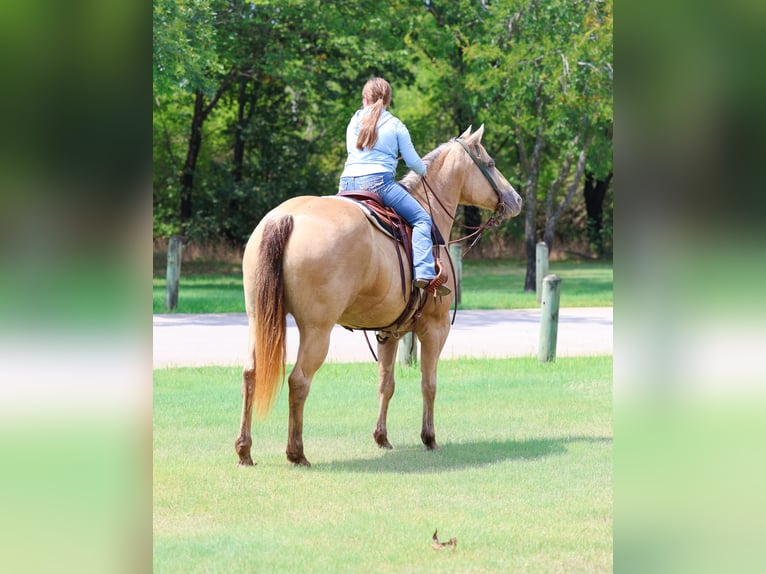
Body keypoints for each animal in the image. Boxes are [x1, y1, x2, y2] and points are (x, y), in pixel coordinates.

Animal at [235, 124, 522, 467]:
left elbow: (386, 383)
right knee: (299, 381)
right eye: (490, 163)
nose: (516, 199)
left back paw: (245, 450)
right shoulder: (435, 328)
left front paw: (381, 437)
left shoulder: (389, 331)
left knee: (250, 374)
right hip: (317, 330)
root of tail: (287, 217)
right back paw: (297, 452)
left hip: (257, 319)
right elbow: (429, 384)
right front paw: (429, 438)